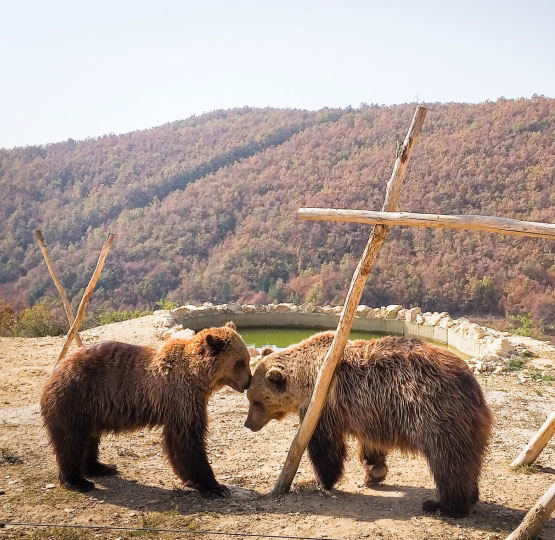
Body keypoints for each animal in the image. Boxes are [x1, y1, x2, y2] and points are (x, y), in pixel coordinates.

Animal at [42, 320, 251, 498]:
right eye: (240, 362)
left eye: (247, 359)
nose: (248, 382)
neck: (198, 378)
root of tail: (57, 369)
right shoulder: (181, 400)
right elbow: (188, 441)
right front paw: (215, 487)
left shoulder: (184, 403)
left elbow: (177, 444)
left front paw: (191, 479)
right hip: (74, 399)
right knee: (71, 441)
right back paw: (77, 481)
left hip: (92, 409)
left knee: (90, 438)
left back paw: (101, 467)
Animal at [245, 332, 494, 516]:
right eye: (250, 398)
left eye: (256, 401)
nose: (248, 424)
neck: (306, 379)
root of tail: (471, 383)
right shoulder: (370, 413)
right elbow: (370, 444)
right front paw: (375, 470)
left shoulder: (323, 405)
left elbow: (325, 447)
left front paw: (319, 480)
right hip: (467, 424)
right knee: (469, 460)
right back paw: (471, 496)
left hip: (437, 414)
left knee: (449, 461)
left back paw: (443, 505)